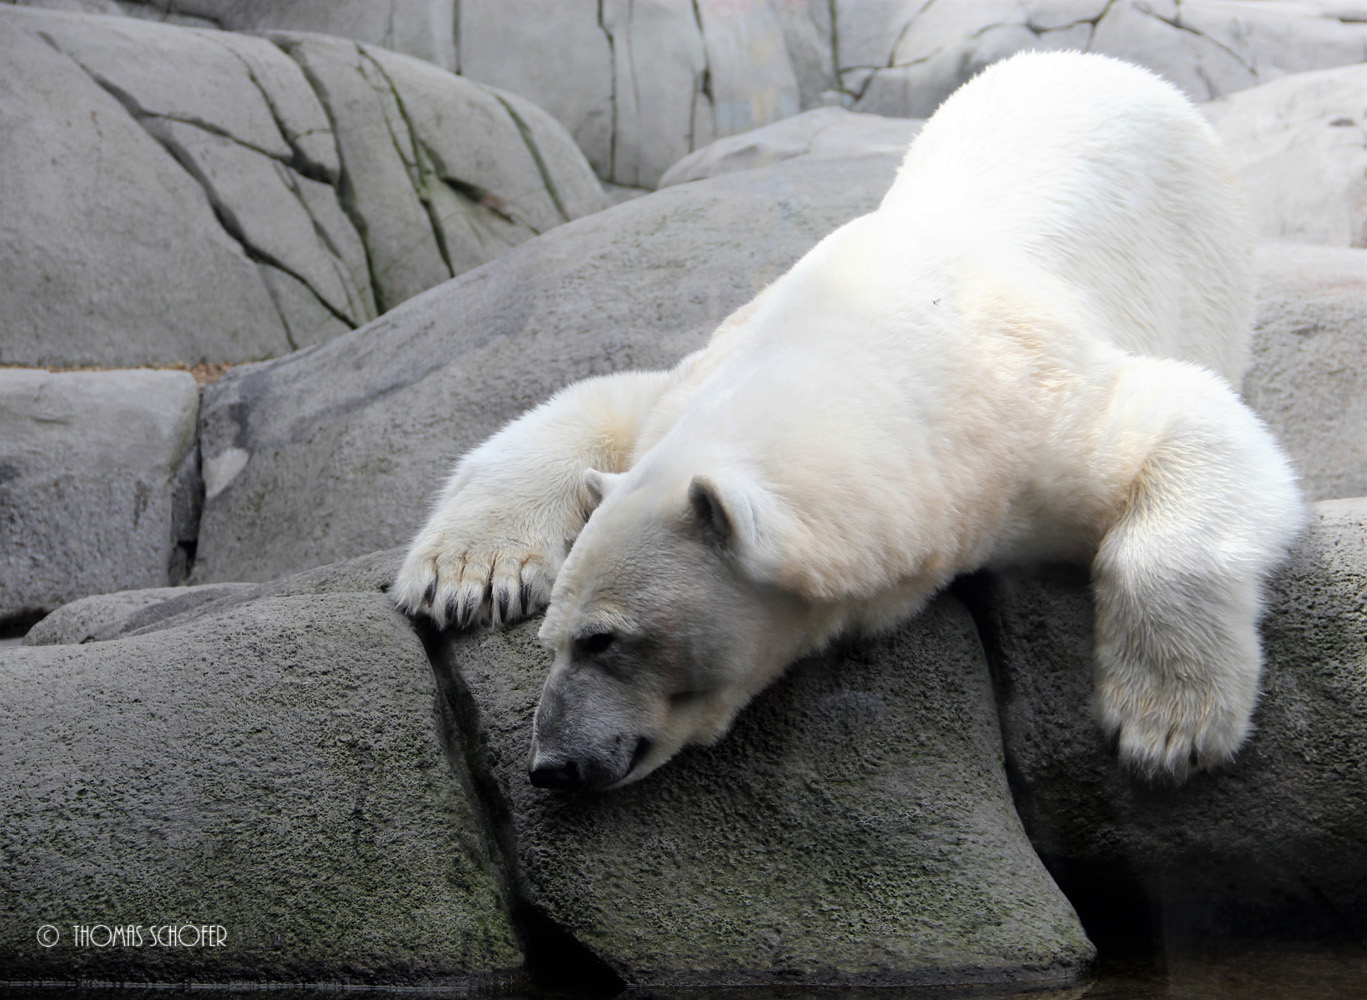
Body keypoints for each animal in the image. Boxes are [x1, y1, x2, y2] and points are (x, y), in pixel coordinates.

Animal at [393, 51, 1305, 792]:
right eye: (550, 636)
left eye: (604, 639)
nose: (551, 766)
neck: (882, 335)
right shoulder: (699, 382)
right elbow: (600, 406)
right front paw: (466, 577)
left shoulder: (1040, 417)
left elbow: (1185, 419)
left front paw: (1168, 723)